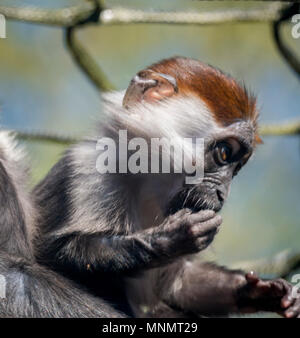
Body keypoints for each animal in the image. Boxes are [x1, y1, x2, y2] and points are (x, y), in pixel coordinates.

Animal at [31, 56, 300, 318]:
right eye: (224, 153)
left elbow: (178, 285)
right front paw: (173, 237)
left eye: (236, 169)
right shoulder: (91, 168)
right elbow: (51, 254)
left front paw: (260, 291)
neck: (145, 184)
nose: (222, 194)